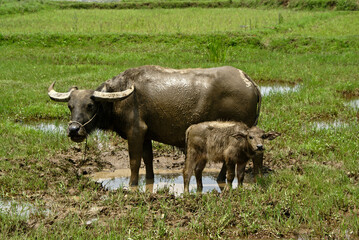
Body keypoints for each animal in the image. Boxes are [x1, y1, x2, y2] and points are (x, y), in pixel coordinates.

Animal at [47, 64, 262, 185]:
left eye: (90, 105)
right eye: (70, 106)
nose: (74, 130)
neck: (119, 99)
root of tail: (251, 83)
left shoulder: (135, 132)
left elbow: (134, 162)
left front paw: (133, 184)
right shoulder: (146, 135)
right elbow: (148, 159)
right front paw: (149, 180)